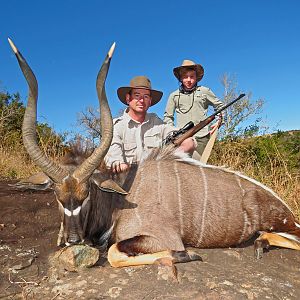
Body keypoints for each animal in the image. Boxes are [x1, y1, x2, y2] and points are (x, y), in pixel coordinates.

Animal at [9, 37, 300, 270]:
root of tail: (283, 205)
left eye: (87, 193)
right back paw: (261, 243)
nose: (72, 240)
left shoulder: (162, 237)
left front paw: (187, 256)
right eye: (56, 196)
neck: (121, 199)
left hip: (285, 223)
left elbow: (114, 252)